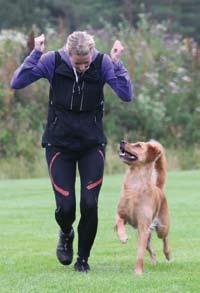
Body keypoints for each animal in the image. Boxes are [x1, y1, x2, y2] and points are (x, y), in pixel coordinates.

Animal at [115, 139, 170, 274]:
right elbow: (118, 222)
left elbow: (139, 254)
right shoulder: (121, 214)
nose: (122, 141)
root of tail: (158, 188)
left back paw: (167, 254)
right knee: (151, 249)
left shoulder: (143, 227)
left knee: (164, 238)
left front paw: (138, 273)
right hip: (146, 233)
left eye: (138, 145)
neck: (134, 187)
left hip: (161, 227)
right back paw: (154, 262)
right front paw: (123, 236)